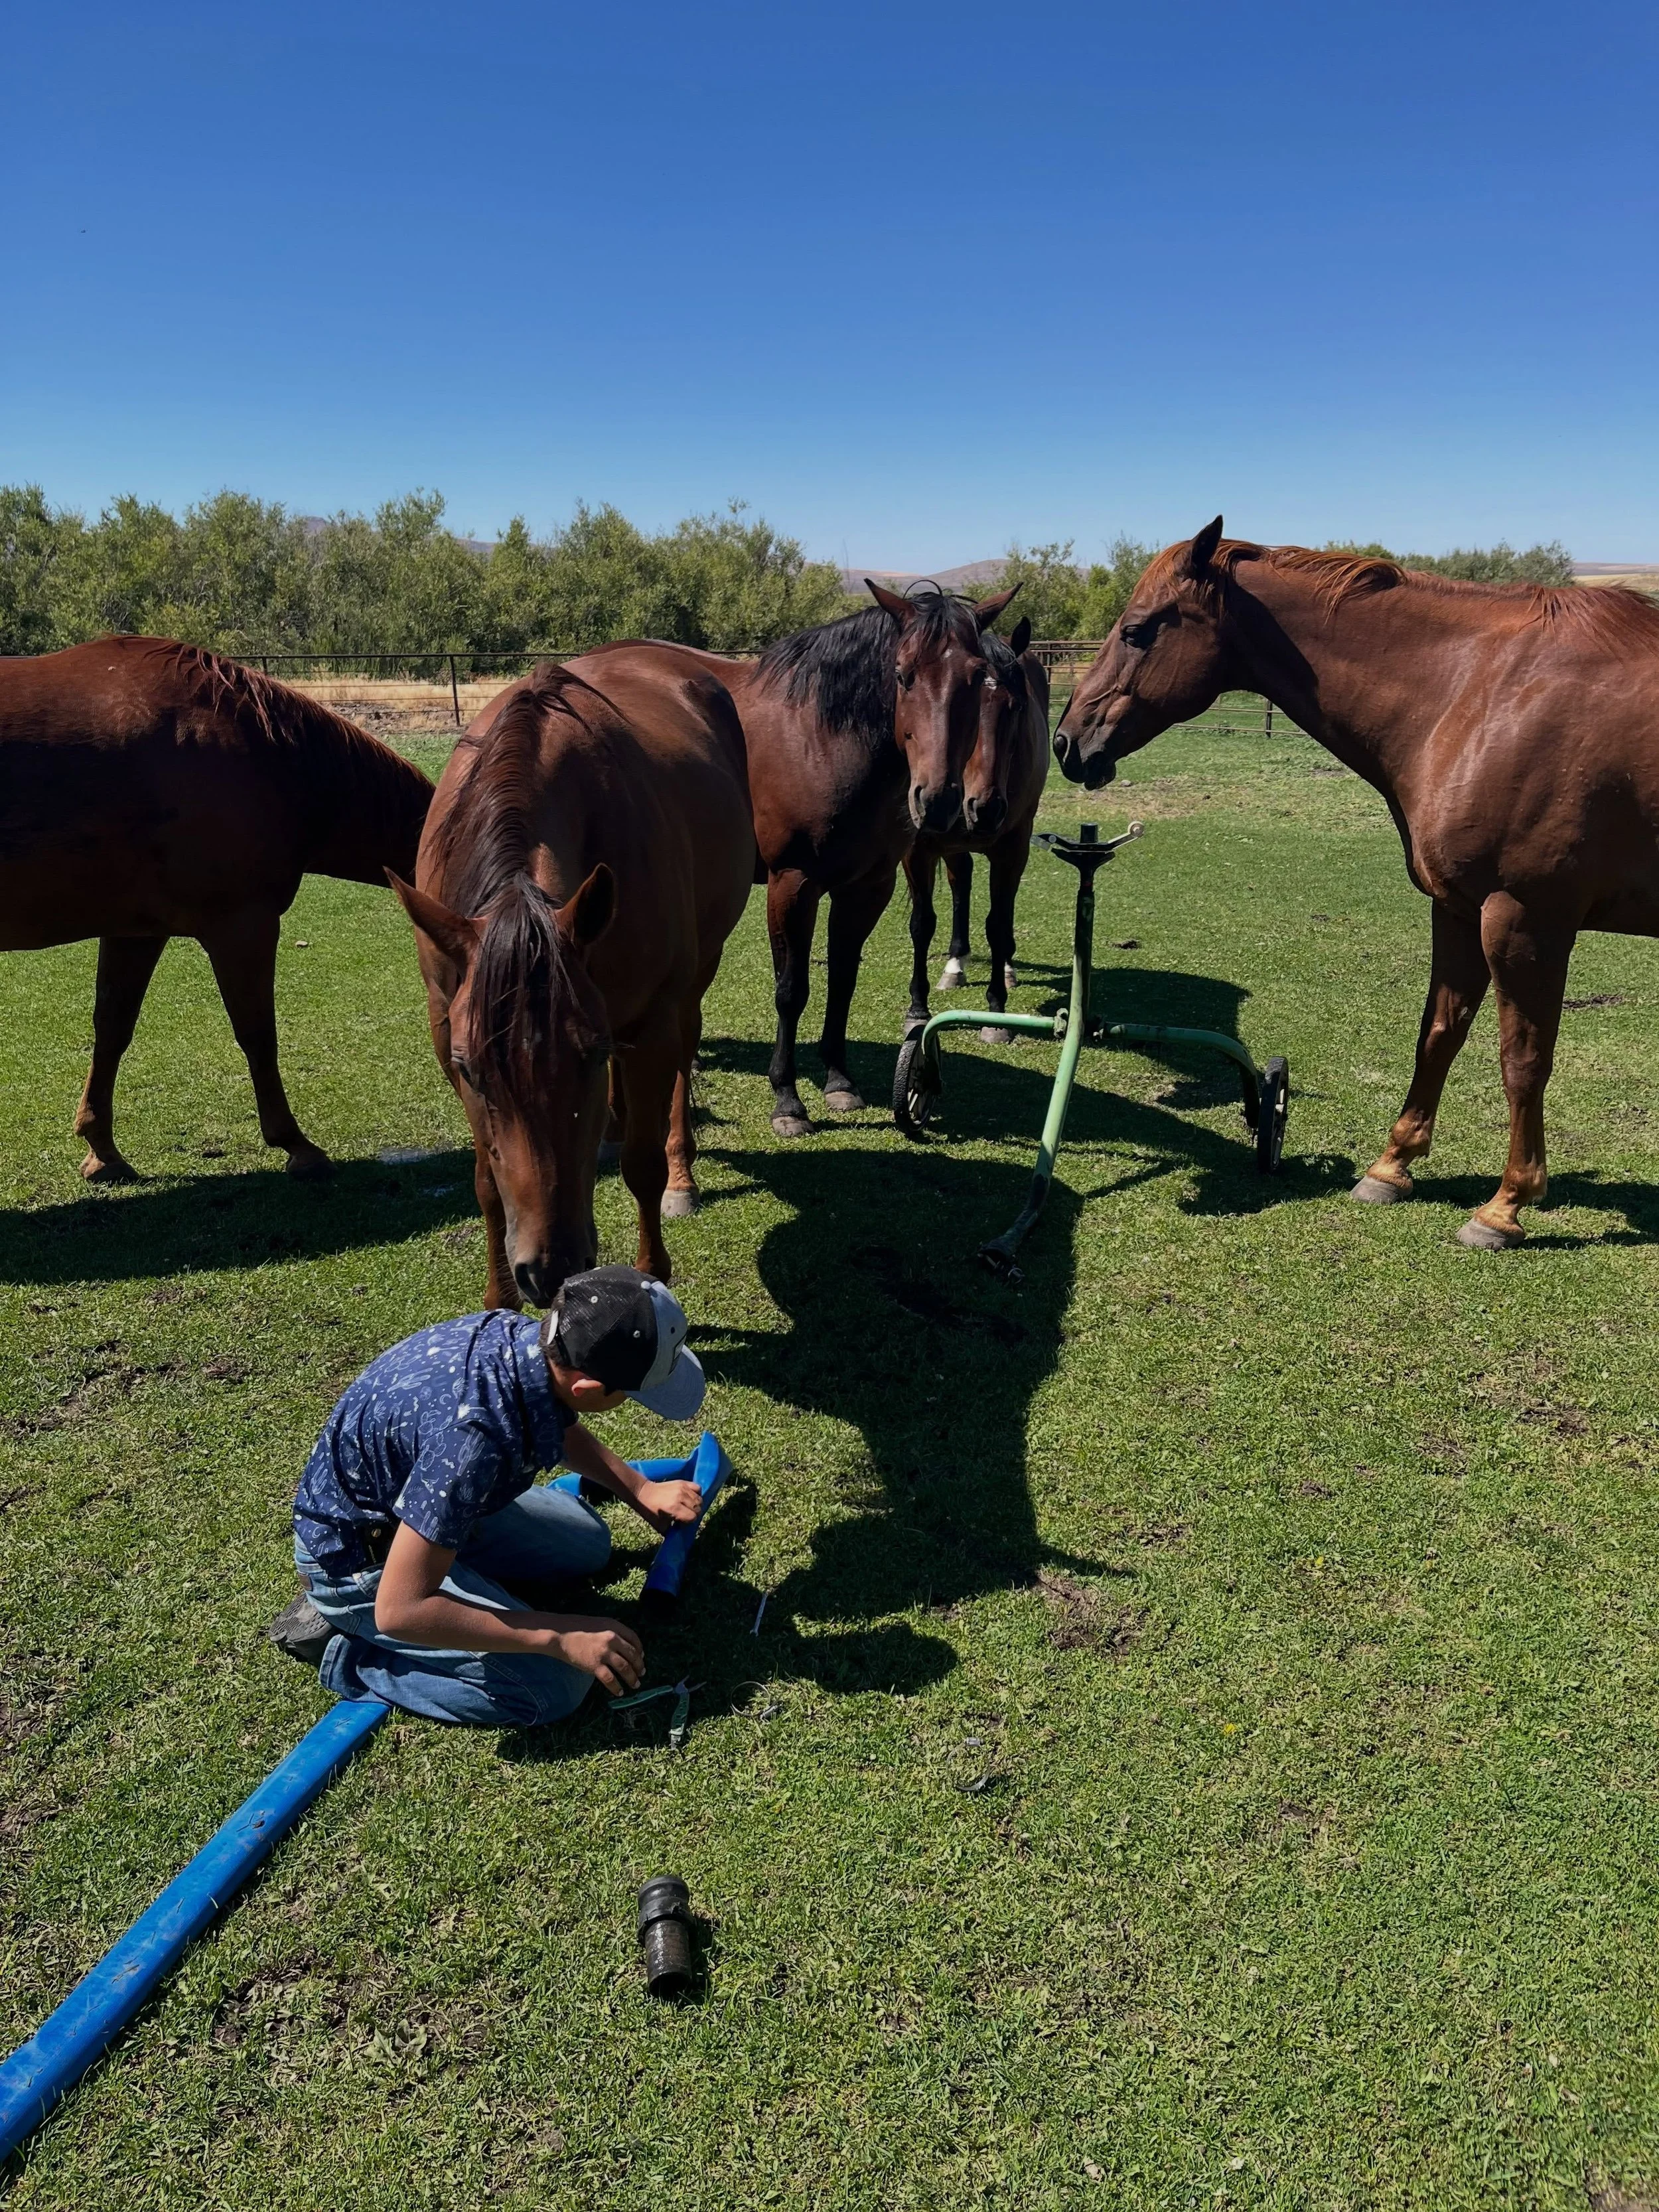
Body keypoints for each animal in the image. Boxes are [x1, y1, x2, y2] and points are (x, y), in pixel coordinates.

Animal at [0, 635, 434, 1182]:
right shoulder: (243, 926)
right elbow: (257, 1034)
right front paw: (295, 1144)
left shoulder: (136, 931)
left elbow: (113, 1029)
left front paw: (102, 1149)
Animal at [390, 655, 756, 1309]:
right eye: (470, 1070)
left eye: (586, 1057)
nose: (549, 1269)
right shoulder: (445, 1026)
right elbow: (487, 1181)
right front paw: (497, 1299)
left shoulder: (651, 1020)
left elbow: (642, 1165)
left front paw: (652, 1272)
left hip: (694, 978)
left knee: (684, 1056)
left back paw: (682, 1174)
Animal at [582, 579, 1016, 1135]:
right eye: (903, 675)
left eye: (976, 678)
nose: (938, 799)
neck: (823, 738)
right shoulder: (793, 884)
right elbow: (792, 990)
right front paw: (787, 1098)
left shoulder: (868, 887)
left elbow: (843, 980)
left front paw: (839, 1080)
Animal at [903, 616, 1051, 1044]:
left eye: (1016, 709)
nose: (985, 808)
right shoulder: (917, 850)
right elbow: (922, 923)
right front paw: (917, 1007)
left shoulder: (1012, 848)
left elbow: (998, 923)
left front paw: (997, 1011)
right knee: (961, 881)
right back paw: (955, 965)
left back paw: (1007, 970)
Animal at [1054, 517, 1659, 1248]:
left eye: (1138, 630)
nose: (1066, 742)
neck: (1478, 695)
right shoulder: (1461, 911)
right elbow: (1438, 1035)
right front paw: (1391, 1167)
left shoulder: (1525, 920)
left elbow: (1523, 1061)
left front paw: (1506, 1204)